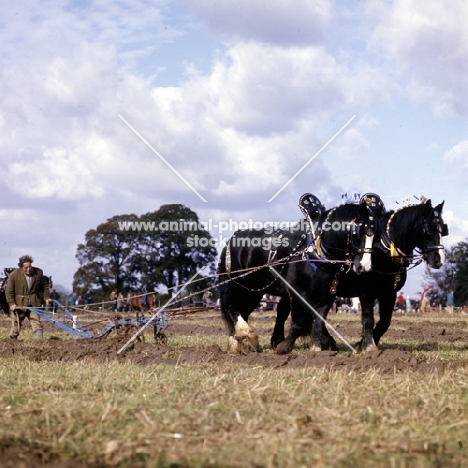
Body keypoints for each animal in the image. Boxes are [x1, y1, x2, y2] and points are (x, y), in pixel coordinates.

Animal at [218, 197, 374, 354]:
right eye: (357, 233)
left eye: (374, 234)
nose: (364, 266)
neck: (316, 251)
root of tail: (231, 240)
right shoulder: (298, 292)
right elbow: (298, 322)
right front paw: (284, 347)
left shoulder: (328, 295)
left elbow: (319, 321)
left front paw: (317, 348)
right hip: (239, 287)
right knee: (232, 307)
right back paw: (246, 336)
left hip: (255, 291)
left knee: (243, 311)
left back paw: (237, 344)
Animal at [274, 196, 450, 352]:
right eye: (428, 230)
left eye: (443, 230)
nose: (438, 260)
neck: (384, 249)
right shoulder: (367, 292)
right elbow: (368, 319)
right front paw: (367, 345)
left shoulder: (389, 293)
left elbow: (385, 321)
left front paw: (365, 343)